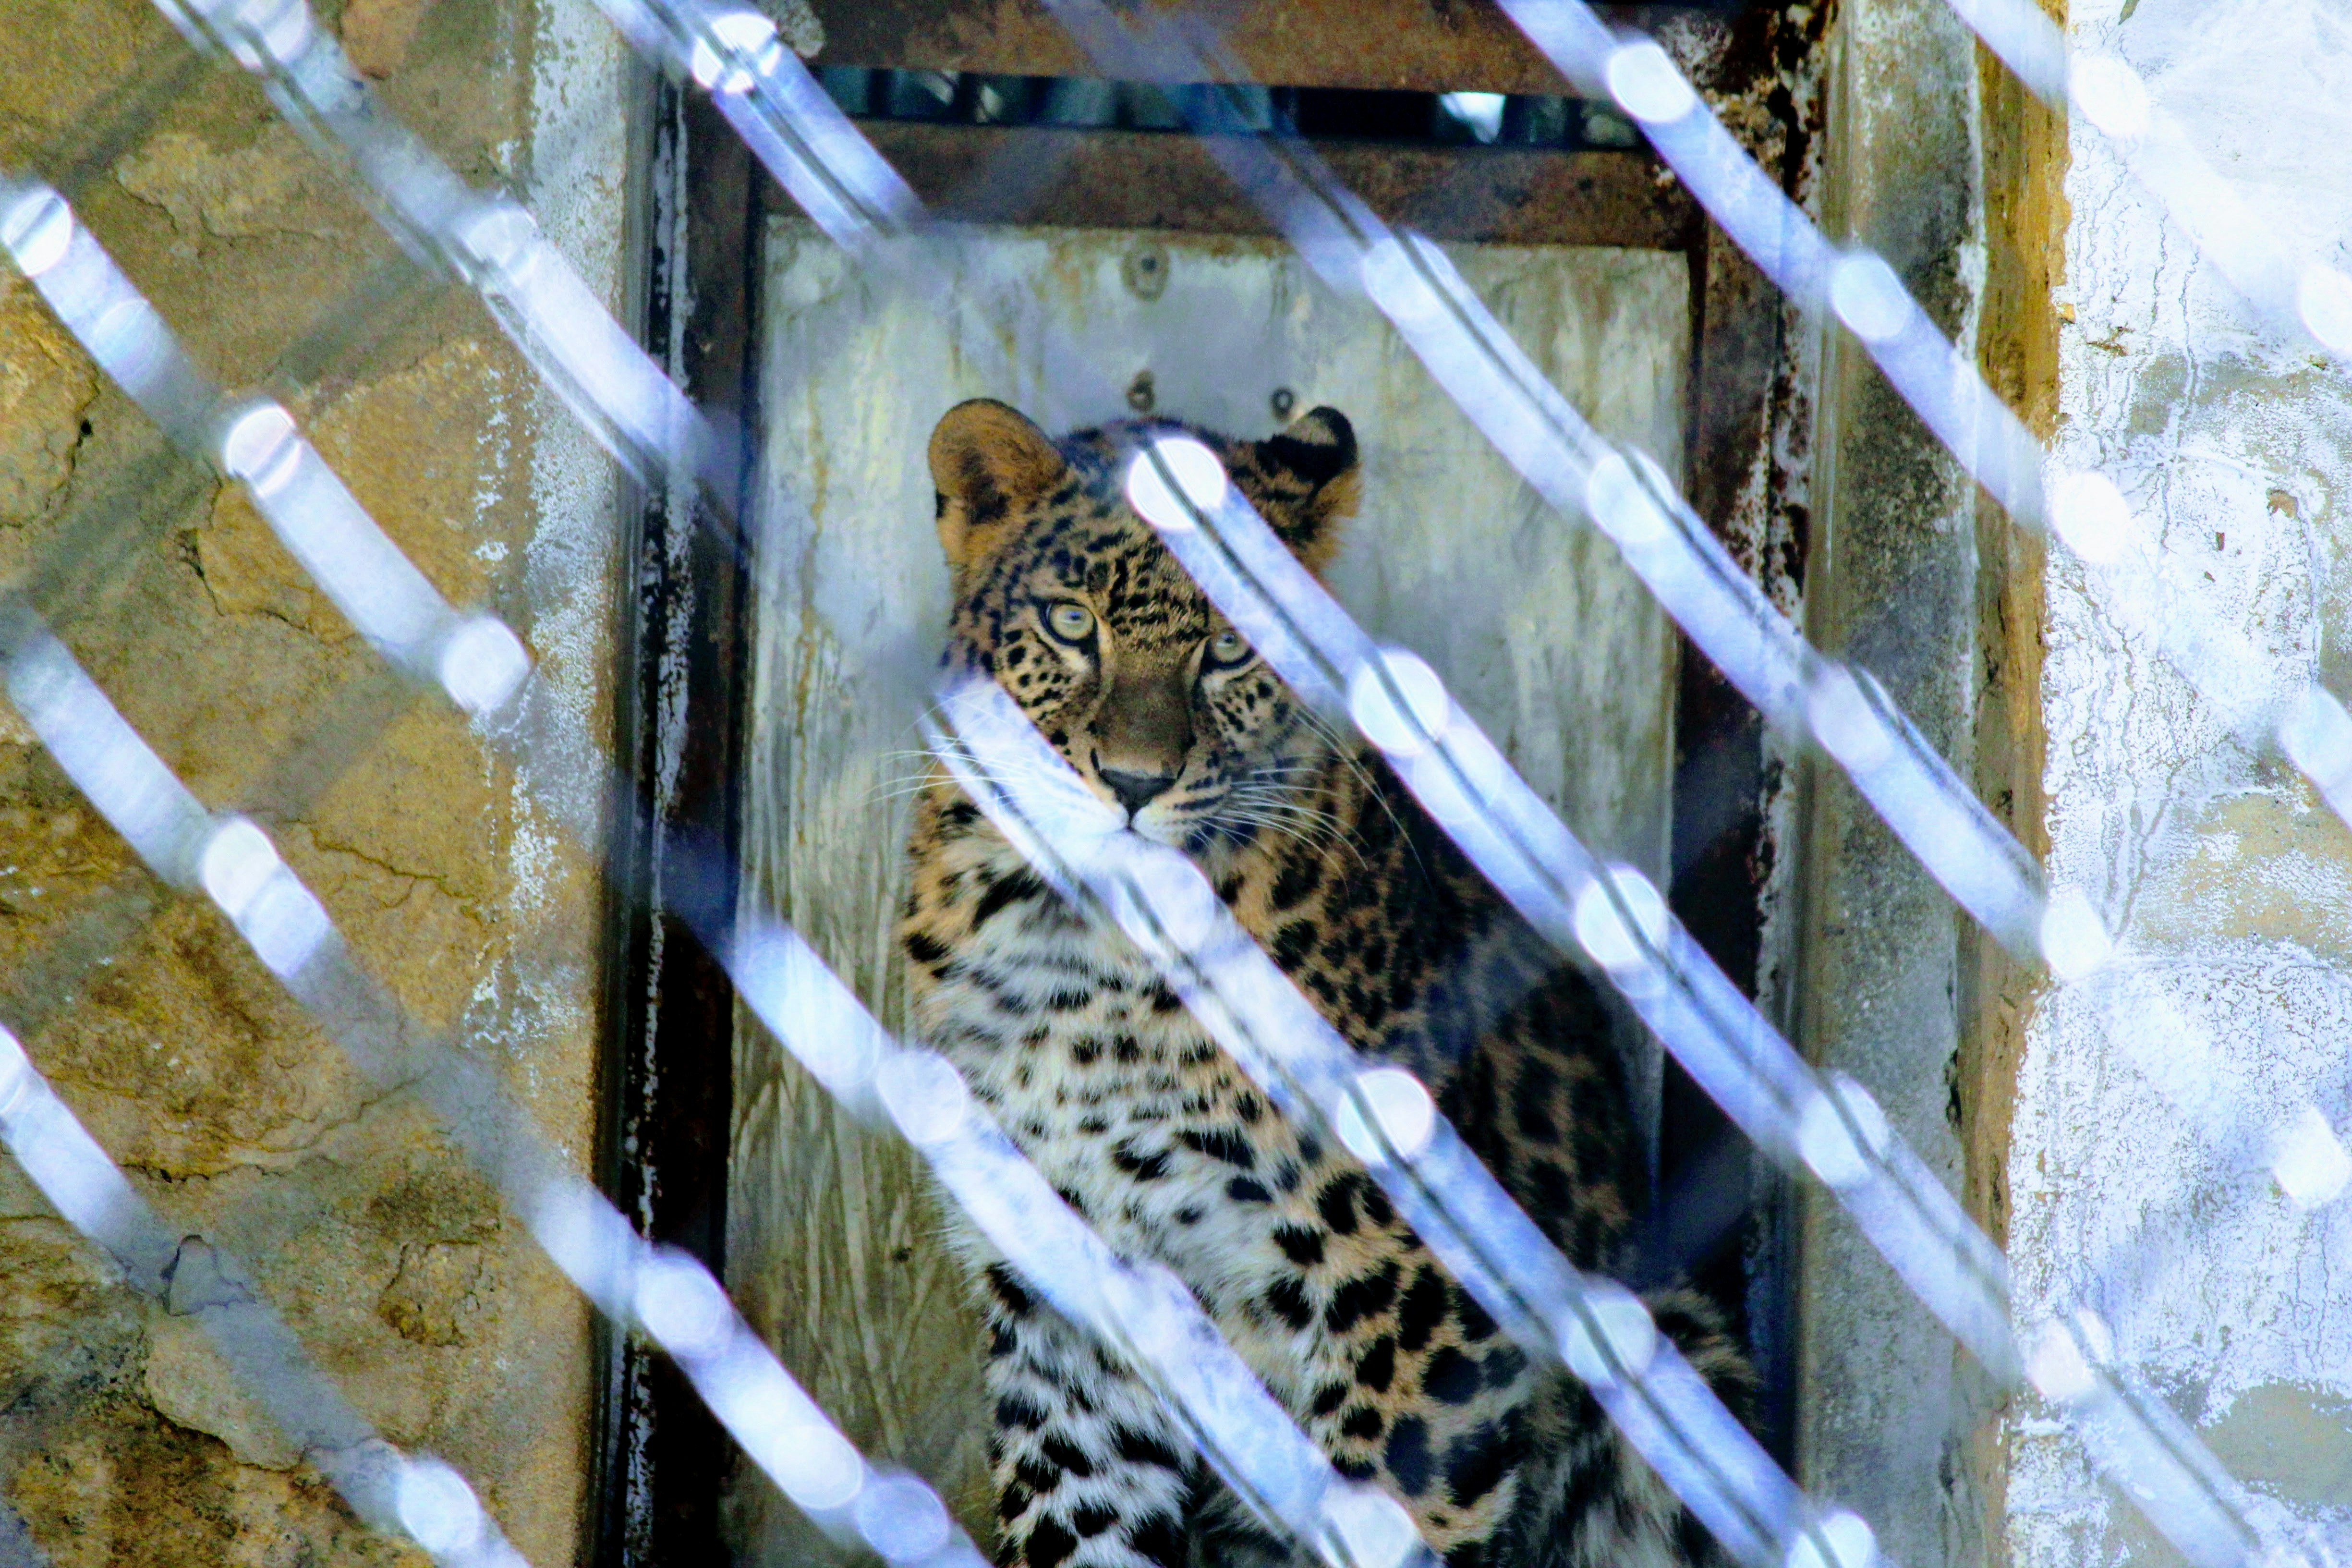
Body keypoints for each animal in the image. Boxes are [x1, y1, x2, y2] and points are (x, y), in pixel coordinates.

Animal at [898, 397, 1751, 1568]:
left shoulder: (1409, 1287)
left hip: (1677, 1335)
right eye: (1072, 626)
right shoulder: (1061, 1297)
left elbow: (1399, 1513)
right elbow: (1080, 1519)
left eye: (1227, 647)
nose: (1131, 784)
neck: (1086, 957)